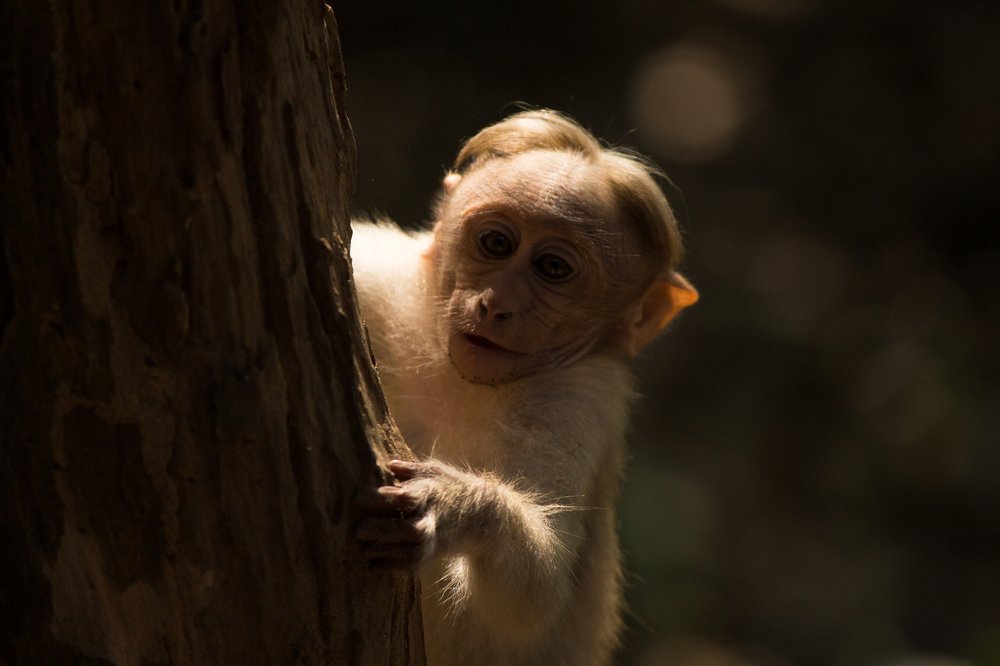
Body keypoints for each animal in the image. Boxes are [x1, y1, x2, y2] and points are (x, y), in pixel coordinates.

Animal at [351, 109, 697, 666]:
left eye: (552, 268)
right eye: (496, 244)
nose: (496, 304)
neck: (462, 378)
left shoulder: (580, 398)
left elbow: (538, 593)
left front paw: (455, 507)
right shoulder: (384, 278)